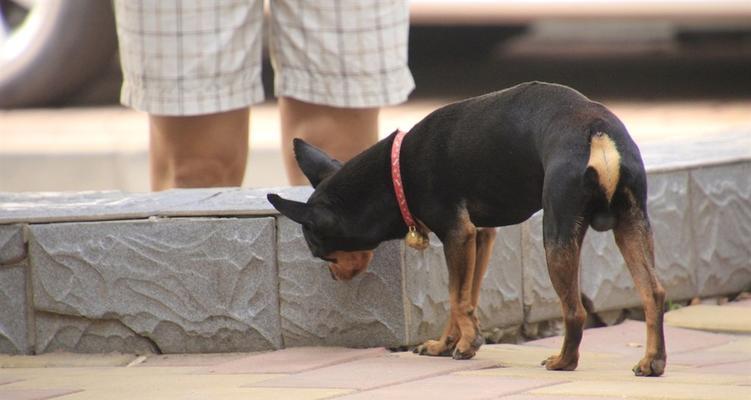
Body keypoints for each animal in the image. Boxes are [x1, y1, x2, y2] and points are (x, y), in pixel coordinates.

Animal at [268, 82, 668, 378]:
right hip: (632, 224)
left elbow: (455, 295)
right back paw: (653, 361)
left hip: (557, 235)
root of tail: (595, 131)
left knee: (574, 310)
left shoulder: (457, 235)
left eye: (323, 255)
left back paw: (563, 361)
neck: (396, 174)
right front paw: (447, 344)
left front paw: (466, 344)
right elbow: (463, 296)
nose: (335, 278)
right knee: (653, 293)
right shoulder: (479, 236)